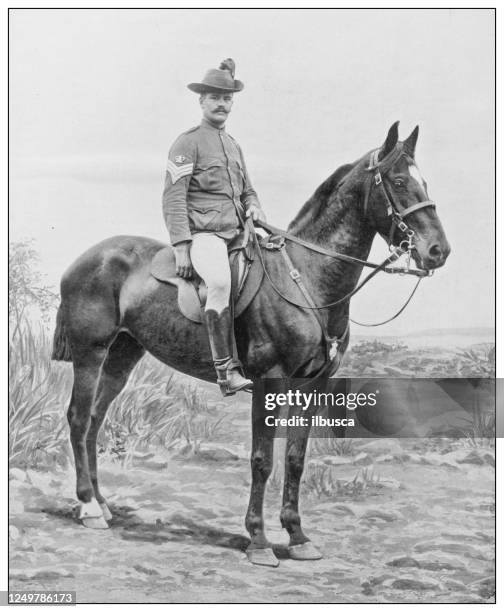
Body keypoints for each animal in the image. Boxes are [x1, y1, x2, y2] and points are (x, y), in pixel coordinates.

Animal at [52, 120, 448, 568]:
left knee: (95, 420)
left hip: (122, 355)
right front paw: (258, 540)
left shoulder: (314, 384)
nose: (438, 250)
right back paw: (87, 507)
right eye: (398, 181)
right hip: (90, 353)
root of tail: (87, 258)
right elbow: (262, 460)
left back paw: (102, 504)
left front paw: (297, 536)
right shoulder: (268, 382)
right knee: (79, 419)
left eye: (423, 181)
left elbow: (295, 459)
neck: (307, 276)